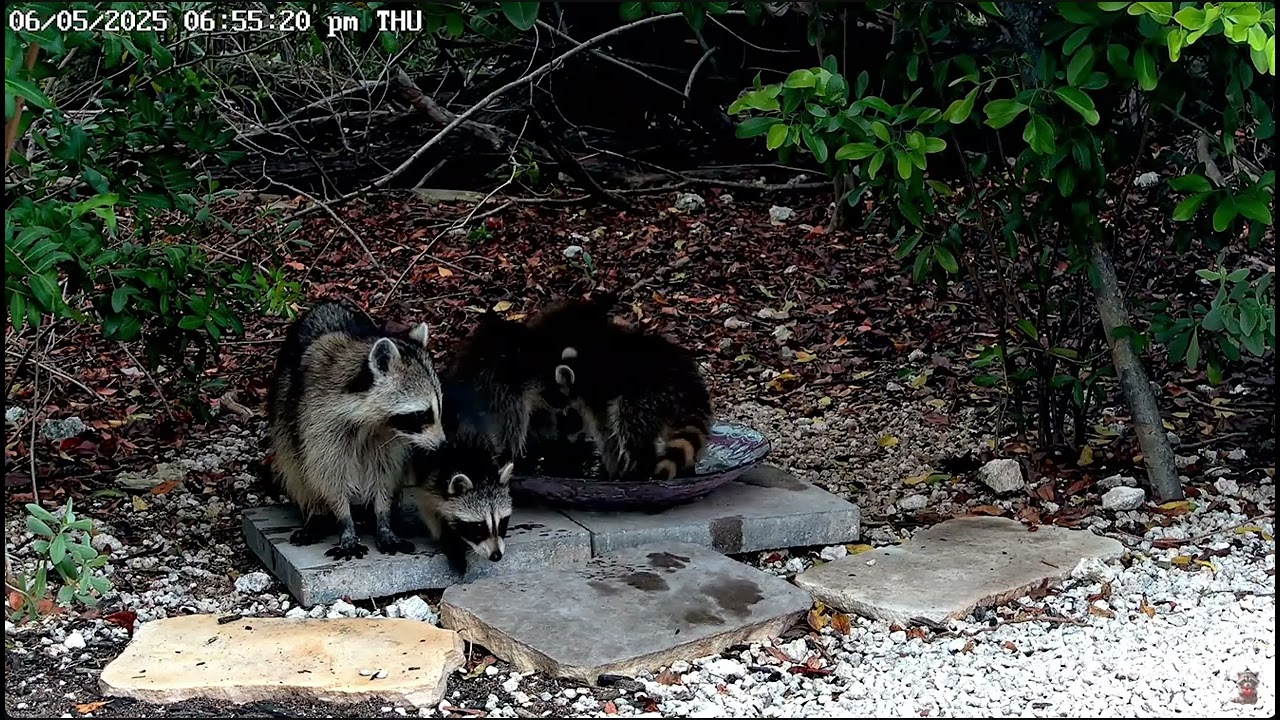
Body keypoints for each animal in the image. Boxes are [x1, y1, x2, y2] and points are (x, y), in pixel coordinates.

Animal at [266, 300, 445, 560]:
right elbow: (328, 475)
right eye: (422, 414)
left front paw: (383, 517)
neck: (371, 422)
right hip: (284, 415)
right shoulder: (318, 421)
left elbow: (385, 473)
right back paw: (316, 512)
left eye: (439, 409)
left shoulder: (389, 438)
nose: (442, 446)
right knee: (297, 467)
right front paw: (344, 520)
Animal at [404, 438, 514, 575]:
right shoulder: (431, 481)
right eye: (479, 526)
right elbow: (431, 513)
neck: (478, 471)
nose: (496, 555)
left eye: (501, 523)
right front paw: (451, 542)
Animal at [530, 294, 713, 480]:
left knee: (628, 424)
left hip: (647, 394)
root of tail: (687, 383)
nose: (566, 442)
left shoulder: (596, 394)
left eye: (566, 418)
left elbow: (606, 431)